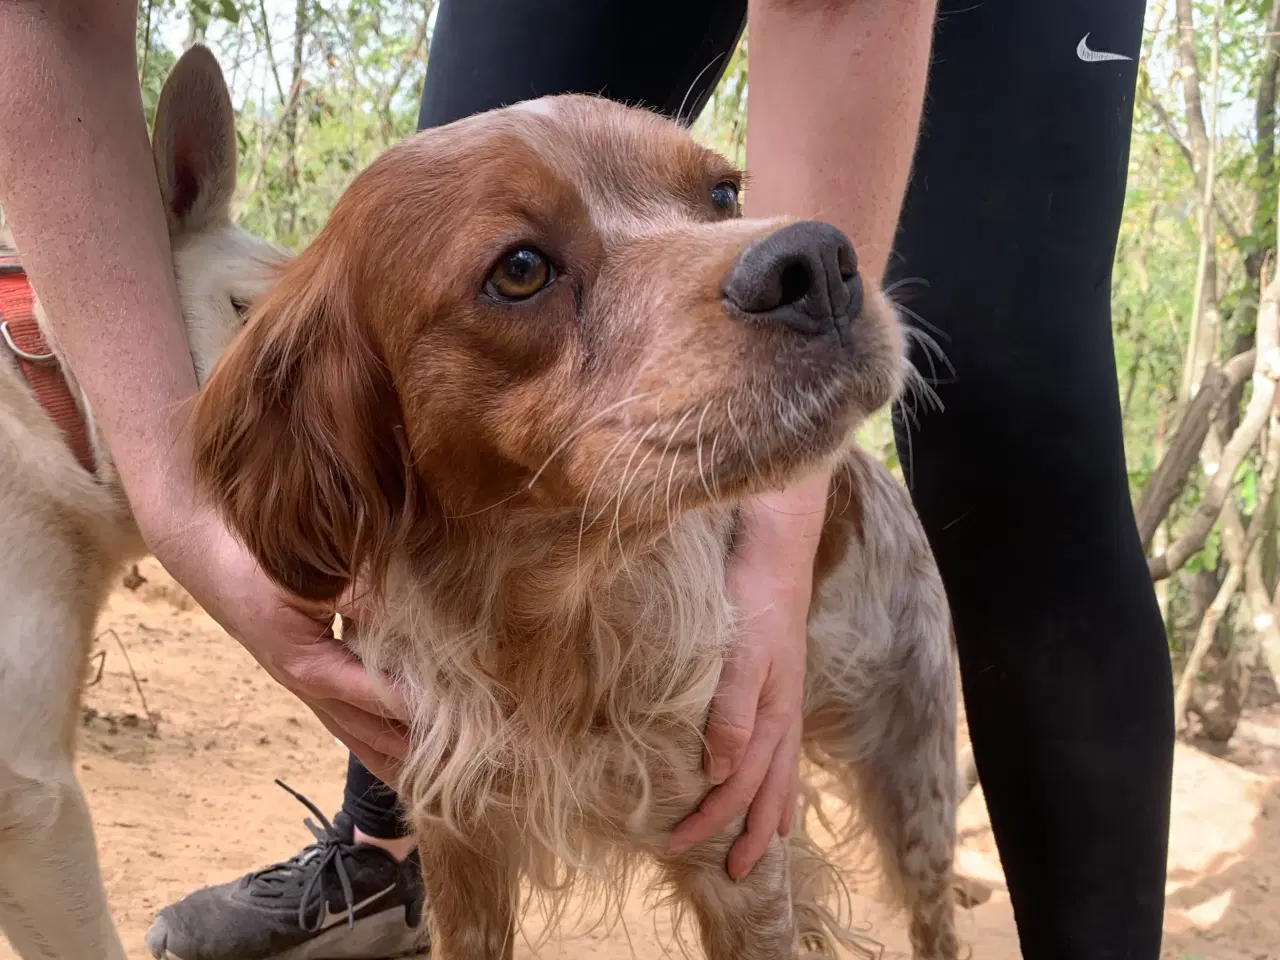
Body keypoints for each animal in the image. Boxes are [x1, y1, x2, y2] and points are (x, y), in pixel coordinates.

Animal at [185, 90, 957, 957]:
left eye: (723, 196)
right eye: (520, 270)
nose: (819, 262)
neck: (544, 613)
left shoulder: (740, 853)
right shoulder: (459, 844)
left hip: (916, 785)